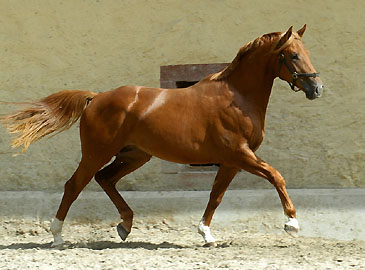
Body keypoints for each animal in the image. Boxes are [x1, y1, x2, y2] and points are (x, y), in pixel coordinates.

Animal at [2, 25, 322, 247]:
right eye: (293, 55)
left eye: (307, 54)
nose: (317, 89)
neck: (236, 97)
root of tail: (96, 98)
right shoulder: (240, 154)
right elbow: (276, 176)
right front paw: (291, 223)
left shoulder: (232, 161)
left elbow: (216, 195)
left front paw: (206, 235)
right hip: (97, 153)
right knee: (74, 185)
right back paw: (57, 237)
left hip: (135, 155)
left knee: (105, 179)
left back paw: (125, 225)